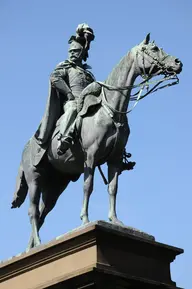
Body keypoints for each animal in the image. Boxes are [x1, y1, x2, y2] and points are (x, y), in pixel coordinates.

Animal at [11, 33, 182, 248]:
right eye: (154, 49)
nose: (177, 63)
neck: (112, 112)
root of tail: (26, 147)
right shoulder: (90, 157)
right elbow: (88, 186)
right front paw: (85, 220)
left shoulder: (114, 160)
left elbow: (113, 188)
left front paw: (115, 221)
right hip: (35, 177)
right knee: (33, 211)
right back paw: (39, 243)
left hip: (56, 185)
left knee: (42, 213)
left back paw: (31, 248)